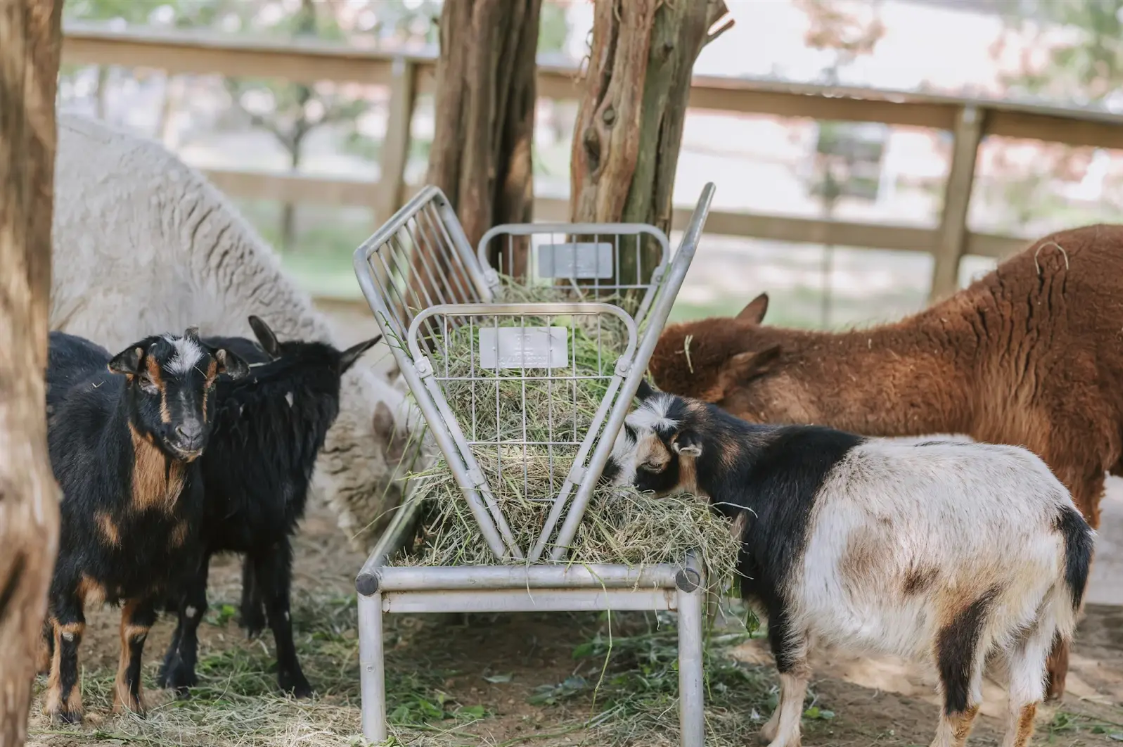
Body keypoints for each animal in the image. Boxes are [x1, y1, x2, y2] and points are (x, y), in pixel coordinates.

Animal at [41, 329, 248, 723]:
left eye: (213, 381)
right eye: (145, 379)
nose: (190, 435)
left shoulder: (156, 573)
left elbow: (136, 633)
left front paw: (130, 705)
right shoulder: (64, 564)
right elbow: (71, 630)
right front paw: (65, 709)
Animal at [157, 316, 381, 698]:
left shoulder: (277, 528)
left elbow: (280, 607)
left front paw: (294, 678)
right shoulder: (199, 535)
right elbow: (192, 606)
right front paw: (179, 671)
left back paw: (251, 617)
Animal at [604, 381, 1094, 747]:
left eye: (653, 463)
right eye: (624, 434)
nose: (610, 486)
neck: (750, 469)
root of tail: (1060, 515)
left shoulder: (786, 598)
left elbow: (792, 669)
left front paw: (780, 738)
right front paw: (771, 728)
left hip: (967, 615)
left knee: (964, 702)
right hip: (1033, 621)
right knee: (1025, 699)